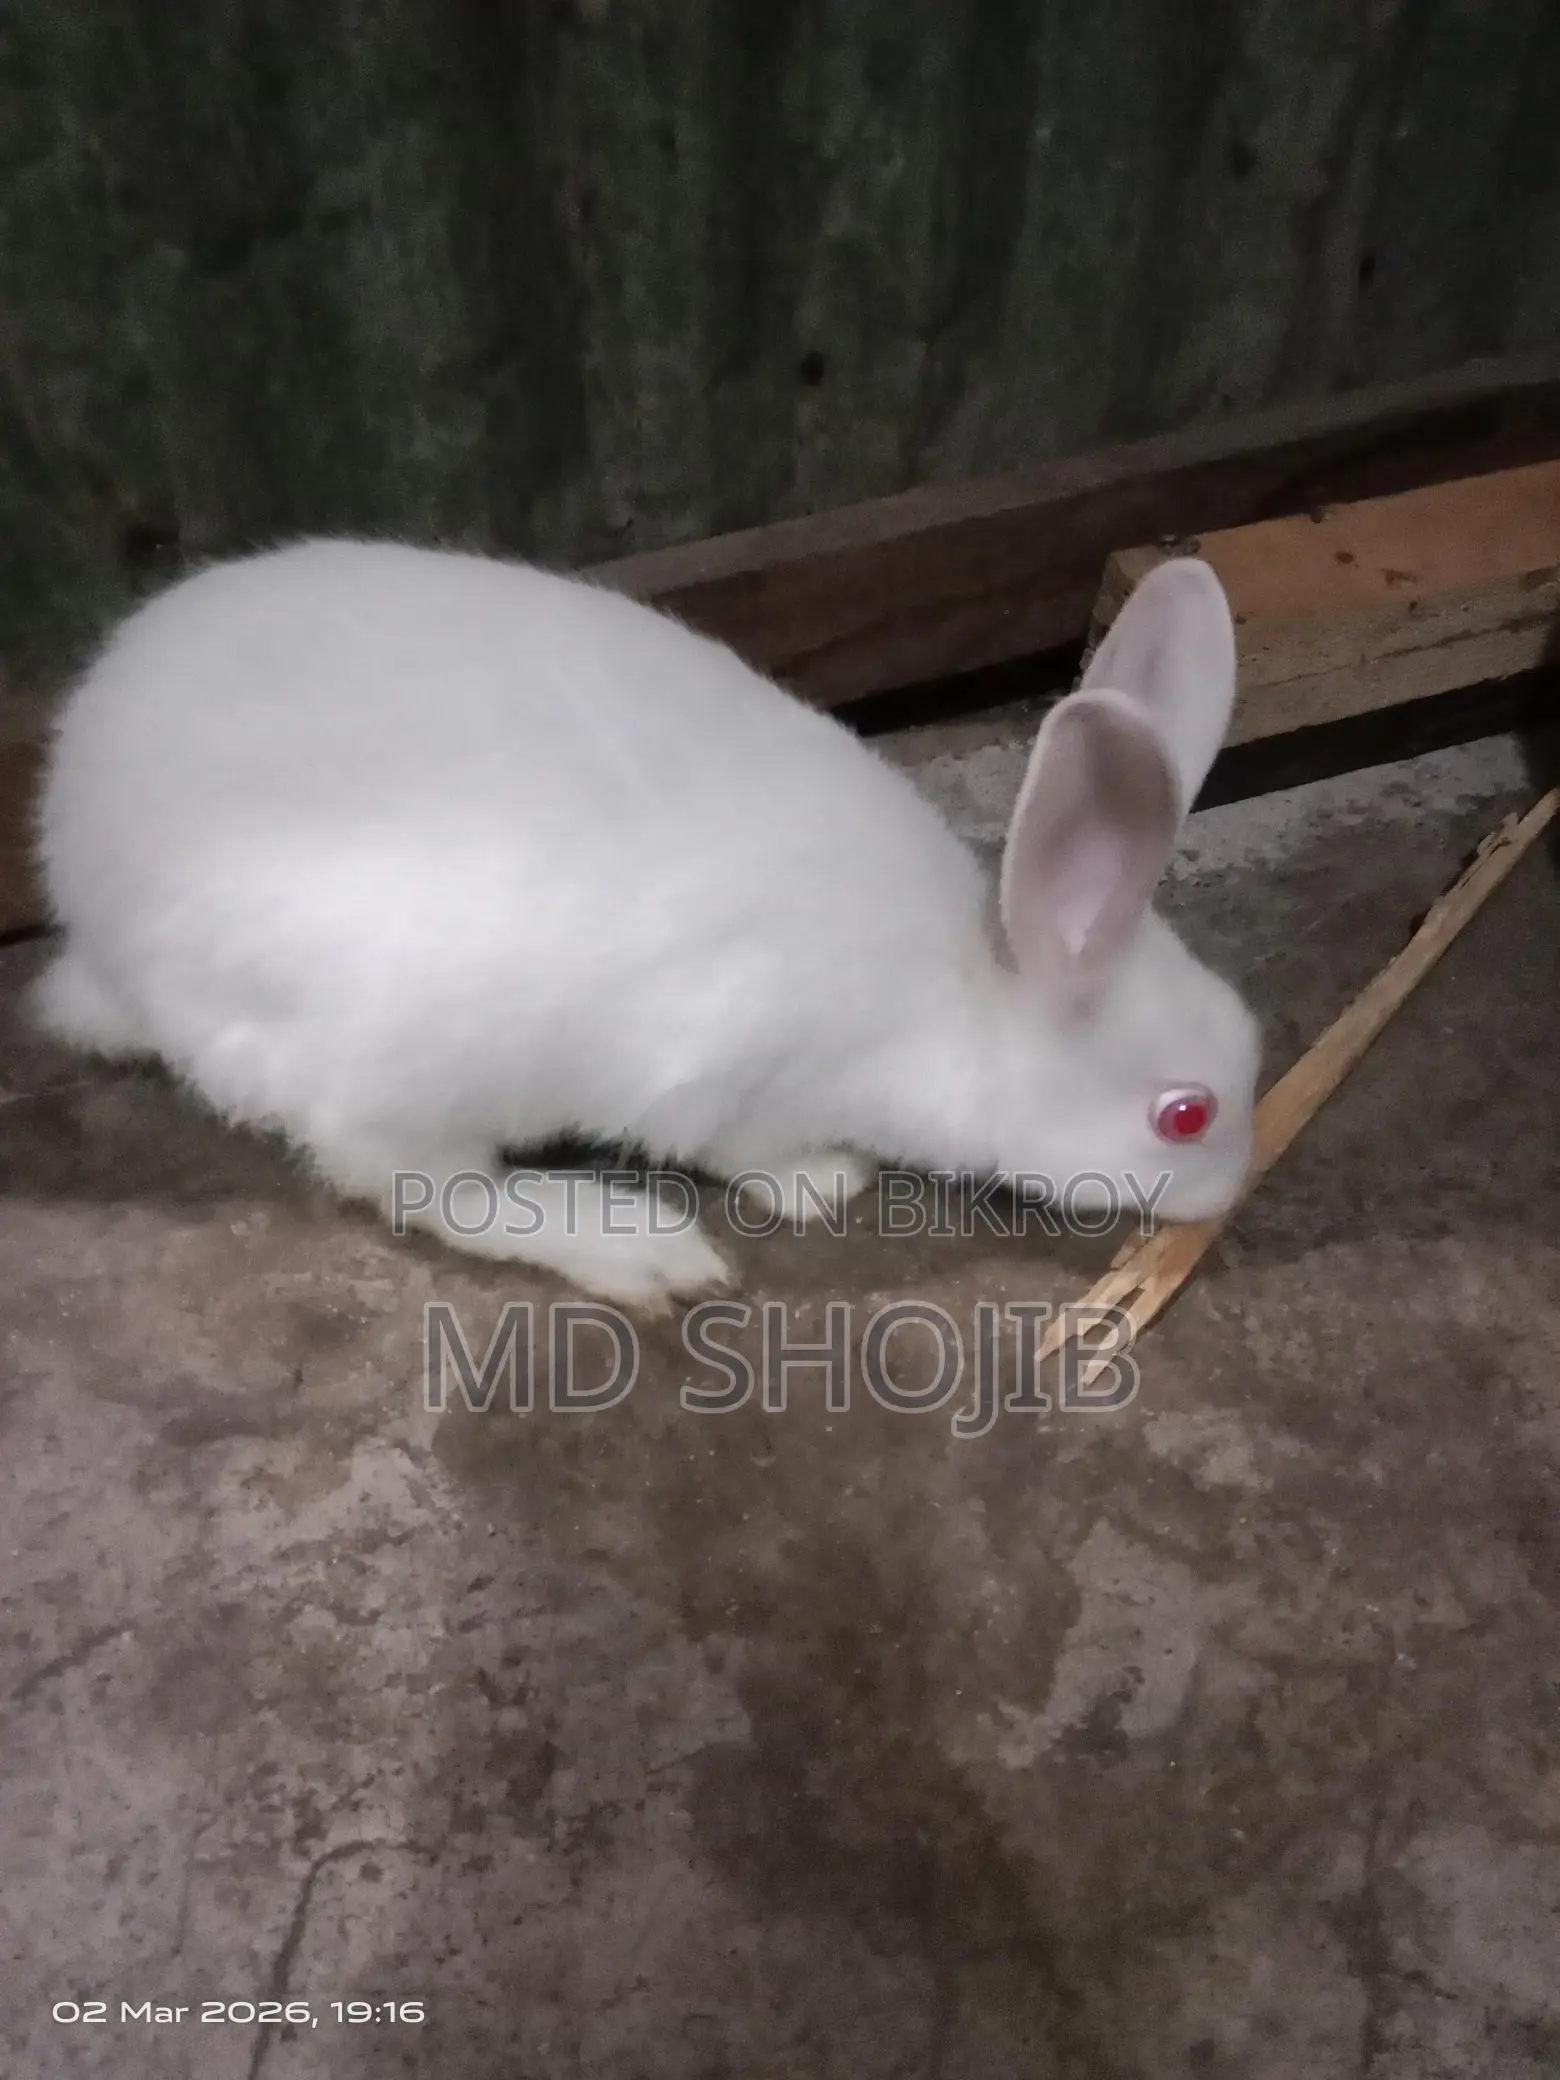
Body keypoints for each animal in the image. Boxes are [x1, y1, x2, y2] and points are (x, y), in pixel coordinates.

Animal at [31, 536, 1260, 1309]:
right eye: (1185, 1116)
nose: (1230, 1192)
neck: (968, 999)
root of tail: (94, 906)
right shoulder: (745, 1082)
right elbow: (749, 1151)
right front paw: (827, 1181)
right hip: (408, 1052)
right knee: (413, 1181)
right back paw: (637, 1247)